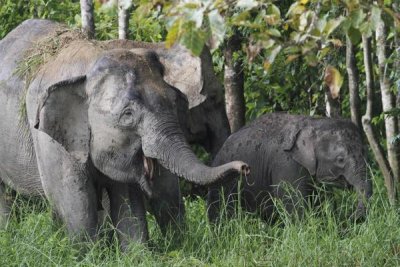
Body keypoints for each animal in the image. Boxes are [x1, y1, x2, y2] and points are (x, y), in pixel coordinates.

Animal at [0, 19, 250, 250]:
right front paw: (86, 256)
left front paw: (140, 254)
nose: (244, 167)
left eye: (176, 101)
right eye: (128, 115)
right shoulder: (51, 139)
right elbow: (77, 204)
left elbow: (129, 201)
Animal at [206, 113, 372, 224]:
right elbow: (295, 205)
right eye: (340, 159)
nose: (350, 217)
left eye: (364, 152)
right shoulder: (285, 164)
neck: (313, 122)